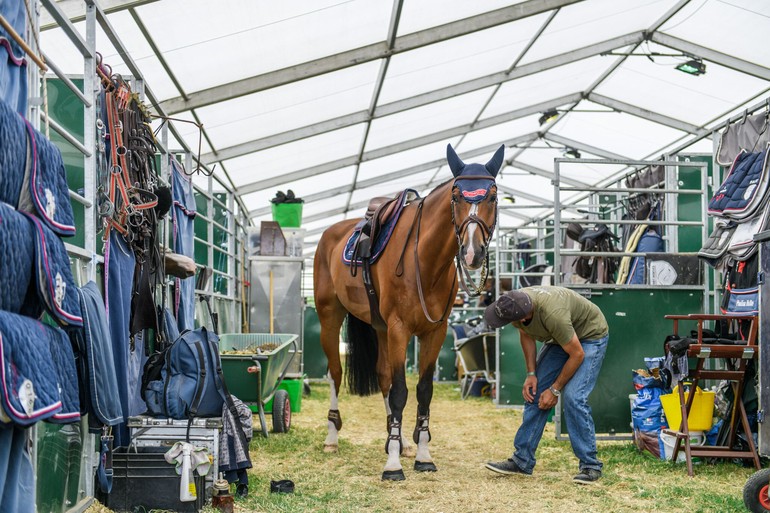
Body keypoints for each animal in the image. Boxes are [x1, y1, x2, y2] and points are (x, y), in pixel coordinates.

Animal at [314, 142, 504, 478]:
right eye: (456, 196)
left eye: (492, 196)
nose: (472, 252)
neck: (425, 262)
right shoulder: (399, 329)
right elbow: (401, 390)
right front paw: (392, 464)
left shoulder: (434, 332)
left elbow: (422, 390)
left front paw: (421, 453)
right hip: (329, 318)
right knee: (336, 373)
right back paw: (332, 436)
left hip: (379, 328)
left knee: (382, 377)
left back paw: (399, 439)